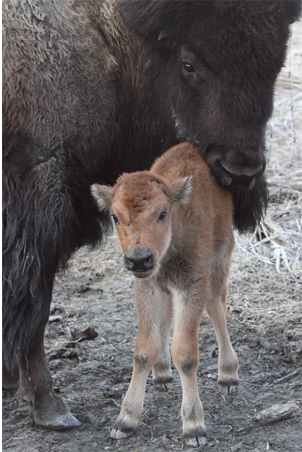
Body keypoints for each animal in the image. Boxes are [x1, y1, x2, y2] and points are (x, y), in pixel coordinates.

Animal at [92, 142, 238, 444]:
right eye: (114, 216)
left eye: (162, 213)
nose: (139, 259)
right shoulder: (148, 287)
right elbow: (144, 349)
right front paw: (125, 420)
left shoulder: (192, 286)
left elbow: (185, 352)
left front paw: (194, 426)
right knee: (168, 318)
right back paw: (161, 373)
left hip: (220, 258)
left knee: (217, 305)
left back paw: (228, 375)